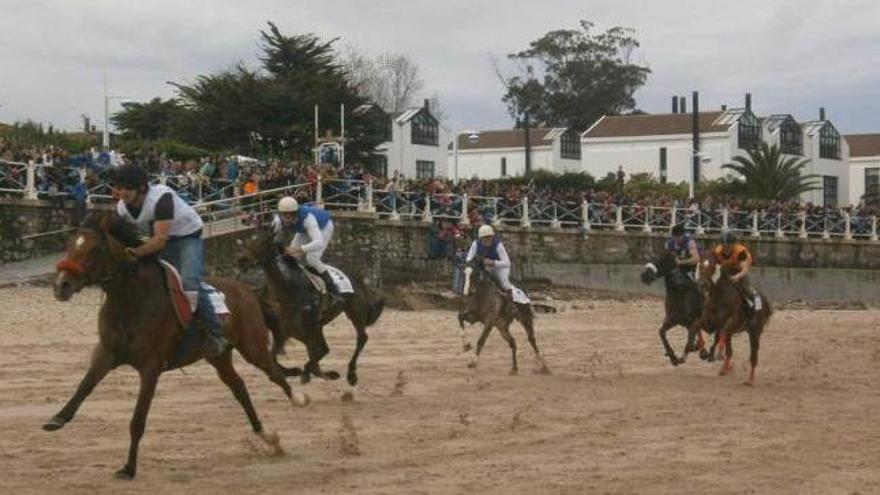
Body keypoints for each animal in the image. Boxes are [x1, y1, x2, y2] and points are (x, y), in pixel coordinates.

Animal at [47, 213, 292, 480]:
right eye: (70, 245)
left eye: (95, 249)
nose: (62, 285)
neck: (130, 301)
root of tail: (248, 290)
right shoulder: (106, 353)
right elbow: (84, 387)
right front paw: (58, 418)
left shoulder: (151, 366)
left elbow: (138, 420)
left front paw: (129, 468)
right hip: (218, 357)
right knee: (238, 386)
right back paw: (266, 435)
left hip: (252, 345)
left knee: (275, 373)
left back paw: (299, 399)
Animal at [235, 229, 384, 404]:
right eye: (251, 239)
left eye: (263, 241)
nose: (242, 259)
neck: (289, 294)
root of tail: (357, 276)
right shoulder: (287, 333)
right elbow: (275, 359)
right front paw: (295, 371)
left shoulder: (312, 329)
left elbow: (320, 354)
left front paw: (309, 374)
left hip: (355, 312)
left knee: (361, 338)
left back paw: (351, 375)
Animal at [696, 258, 772, 386]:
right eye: (701, 267)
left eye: (712, 268)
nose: (702, 284)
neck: (718, 298)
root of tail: (764, 300)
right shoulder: (708, 323)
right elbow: (698, 327)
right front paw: (703, 352)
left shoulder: (731, 323)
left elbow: (722, 332)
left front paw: (717, 353)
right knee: (730, 351)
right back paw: (724, 369)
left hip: (755, 332)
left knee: (753, 355)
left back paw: (750, 380)